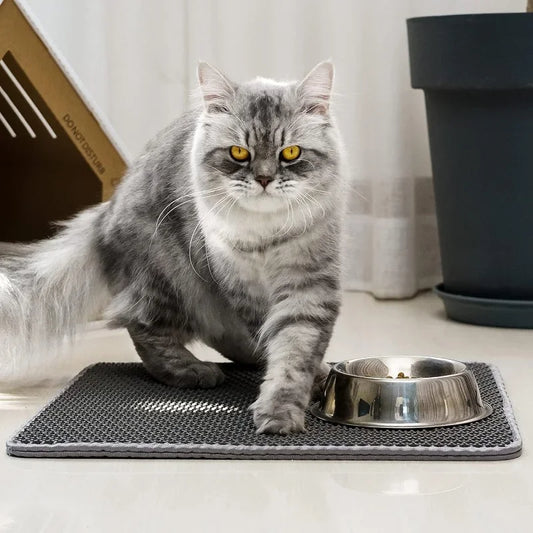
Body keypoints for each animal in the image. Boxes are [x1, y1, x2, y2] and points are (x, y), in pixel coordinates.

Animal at [0, 61, 348, 432]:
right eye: (239, 153)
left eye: (291, 153)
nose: (265, 179)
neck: (266, 234)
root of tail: (106, 213)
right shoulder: (244, 288)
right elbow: (277, 344)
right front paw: (283, 409)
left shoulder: (308, 288)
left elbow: (293, 353)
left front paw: (285, 407)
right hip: (167, 276)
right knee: (144, 329)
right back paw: (194, 371)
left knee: (224, 337)